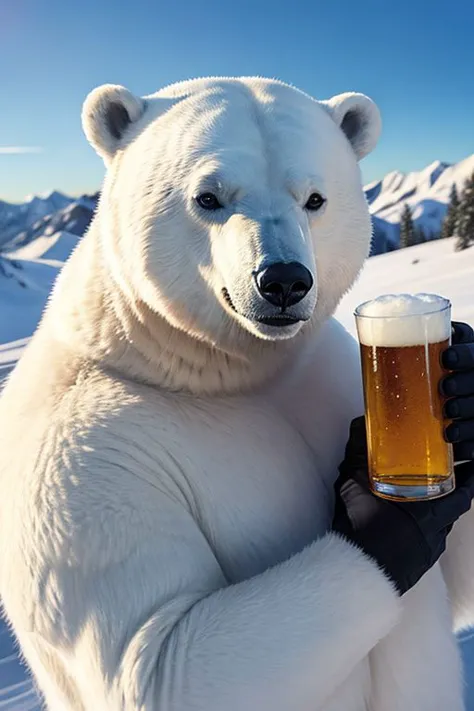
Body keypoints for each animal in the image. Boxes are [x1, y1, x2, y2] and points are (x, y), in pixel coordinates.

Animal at [0, 75, 474, 708]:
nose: (284, 281)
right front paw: (382, 514)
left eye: (315, 198)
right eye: (208, 197)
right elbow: (158, 661)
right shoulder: (80, 461)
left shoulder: (324, 364)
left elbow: (456, 576)